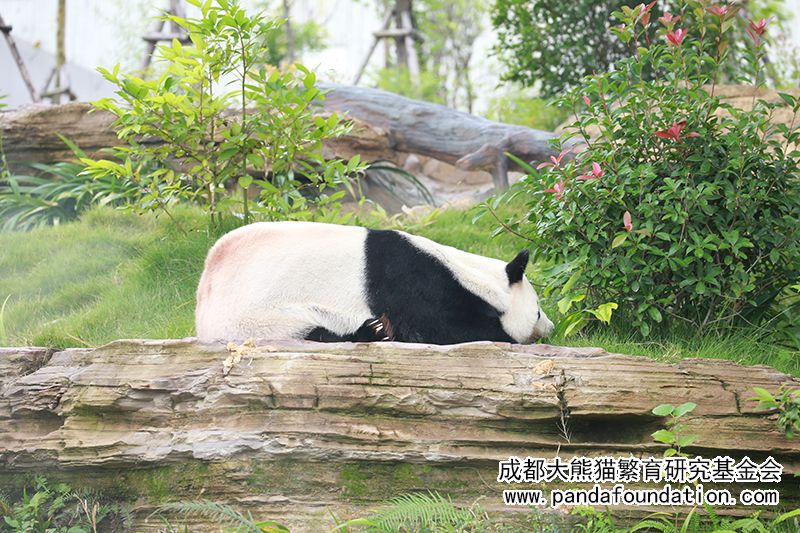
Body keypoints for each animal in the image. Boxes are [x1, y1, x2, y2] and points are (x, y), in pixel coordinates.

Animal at [195, 221, 554, 345]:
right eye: (537, 311)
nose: (550, 328)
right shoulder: (414, 284)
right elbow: (439, 329)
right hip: (258, 317)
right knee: (313, 332)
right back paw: (371, 332)